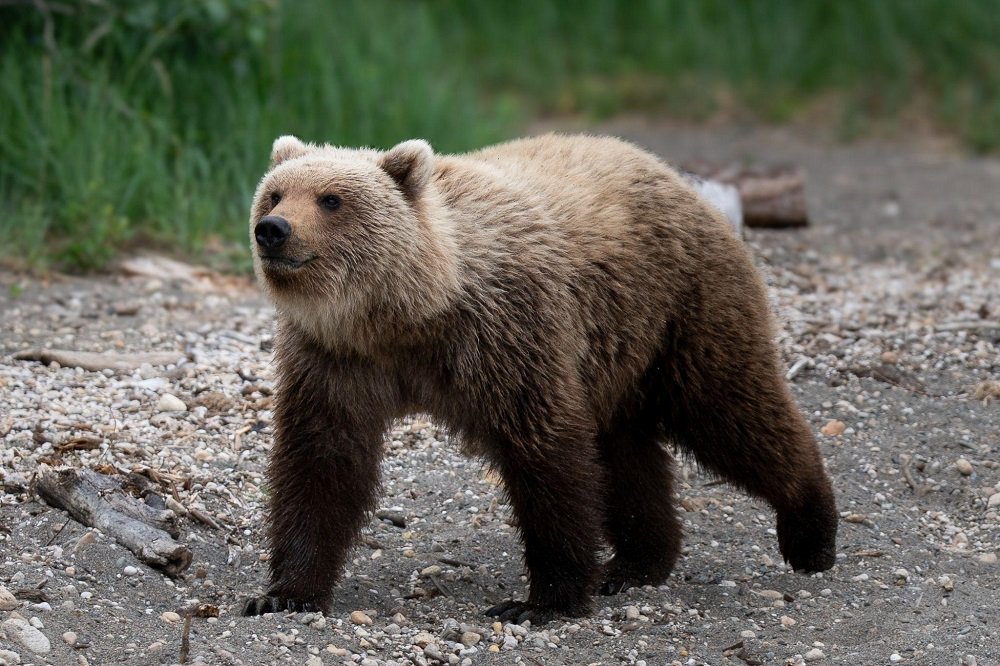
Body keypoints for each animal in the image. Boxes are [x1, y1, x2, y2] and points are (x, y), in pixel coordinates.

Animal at [241, 133, 838, 623]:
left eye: (331, 199)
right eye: (275, 194)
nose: (273, 230)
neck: (406, 315)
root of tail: (676, 176)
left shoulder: (506, 336)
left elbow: (546, 456)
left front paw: (541, 601)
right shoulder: (336, 359)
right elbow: (322, 462)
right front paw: (285, 593)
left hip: (681, 310)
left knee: (731, 411)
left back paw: (811, 533)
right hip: (615, 356)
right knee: (627, 455)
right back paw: (637, 563)